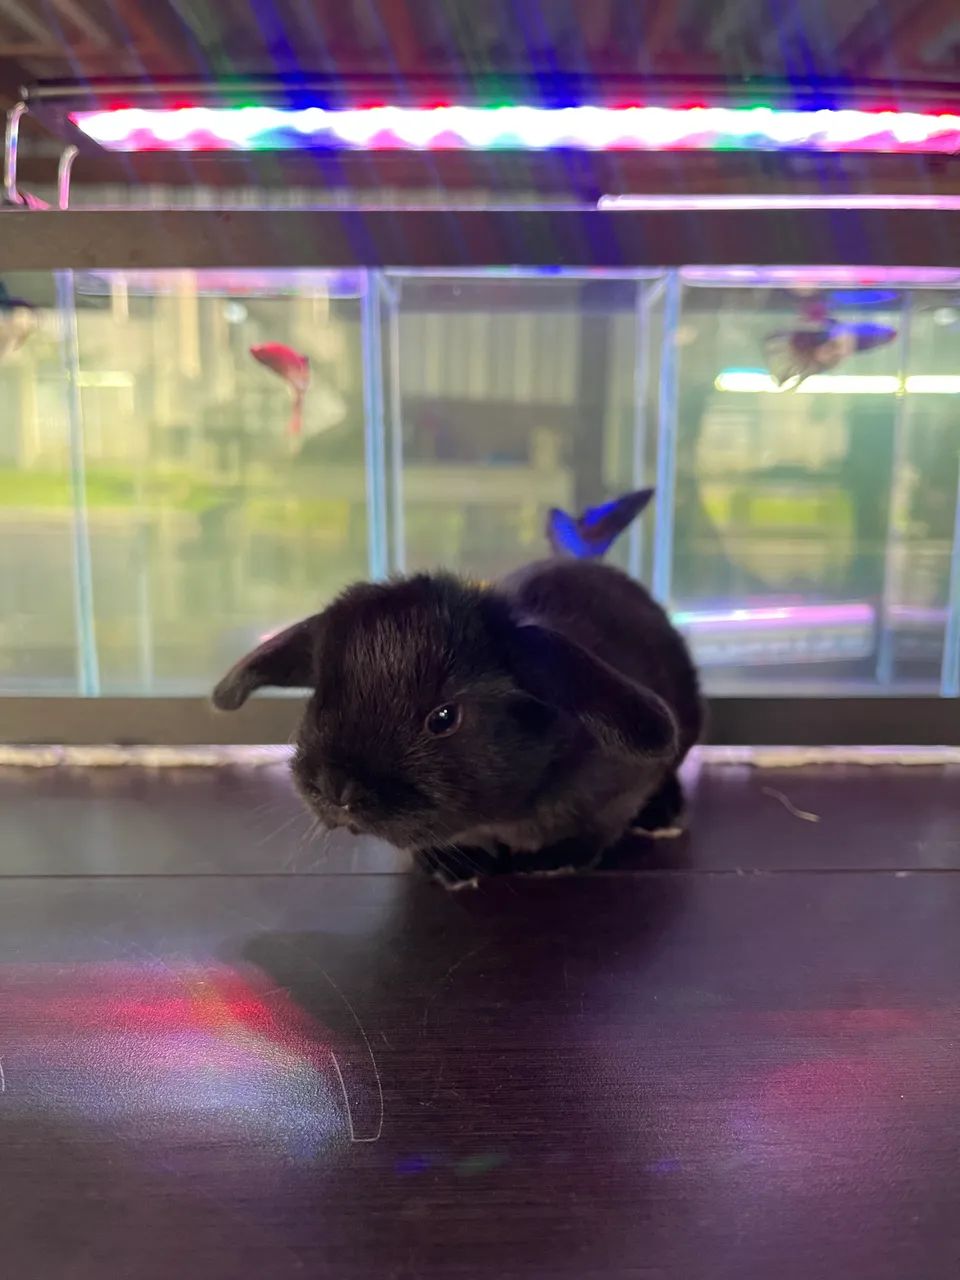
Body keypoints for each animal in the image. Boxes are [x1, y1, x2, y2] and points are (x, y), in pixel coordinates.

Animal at [212, 488, 702, 884]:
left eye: (444, 718)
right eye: (318, 700)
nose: (336, 789)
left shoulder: (622, 788)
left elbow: (600, 826)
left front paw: (550, 861)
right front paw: (451, 868)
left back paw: (663, 815)